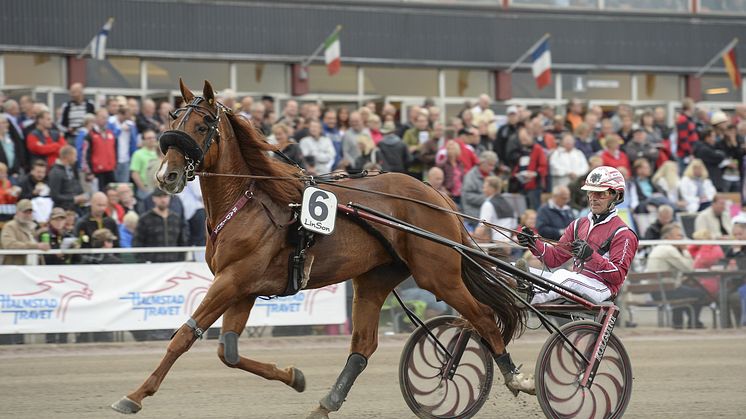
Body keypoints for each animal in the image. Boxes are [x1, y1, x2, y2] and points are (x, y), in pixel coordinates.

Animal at [112, 80, 528, 418]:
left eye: (201, 125)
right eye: (172, 118)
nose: (166, 175)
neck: (248, 200)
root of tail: (434, 193)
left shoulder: (233, 280)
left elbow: (184, 336)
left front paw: (135, 396)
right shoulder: (242, 288)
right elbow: (227, 351)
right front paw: (293, 376)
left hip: (438, 274)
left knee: (483, 316)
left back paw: (515, 377)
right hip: (374, 279)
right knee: (363, 345)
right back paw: (327, 403)